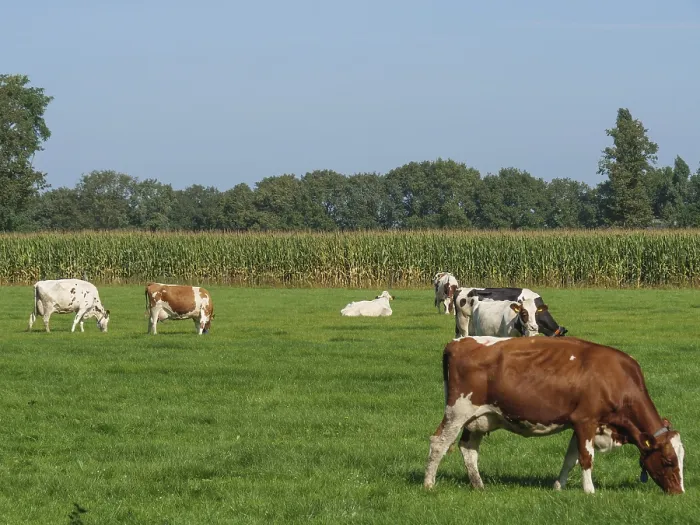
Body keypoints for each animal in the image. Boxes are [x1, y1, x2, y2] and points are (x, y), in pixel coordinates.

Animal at [423, 336, 685, 494]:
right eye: (668, 461)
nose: (679, 493)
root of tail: (459, 341)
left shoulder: (579, 424)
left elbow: (571, 458)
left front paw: (558, 486)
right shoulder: (585, 420)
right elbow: (586, 458)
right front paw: (590, 491)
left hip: (478, 418)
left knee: (468, 449)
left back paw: (479, 485)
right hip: (458, 411)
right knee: (439, 443)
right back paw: (429, 484)